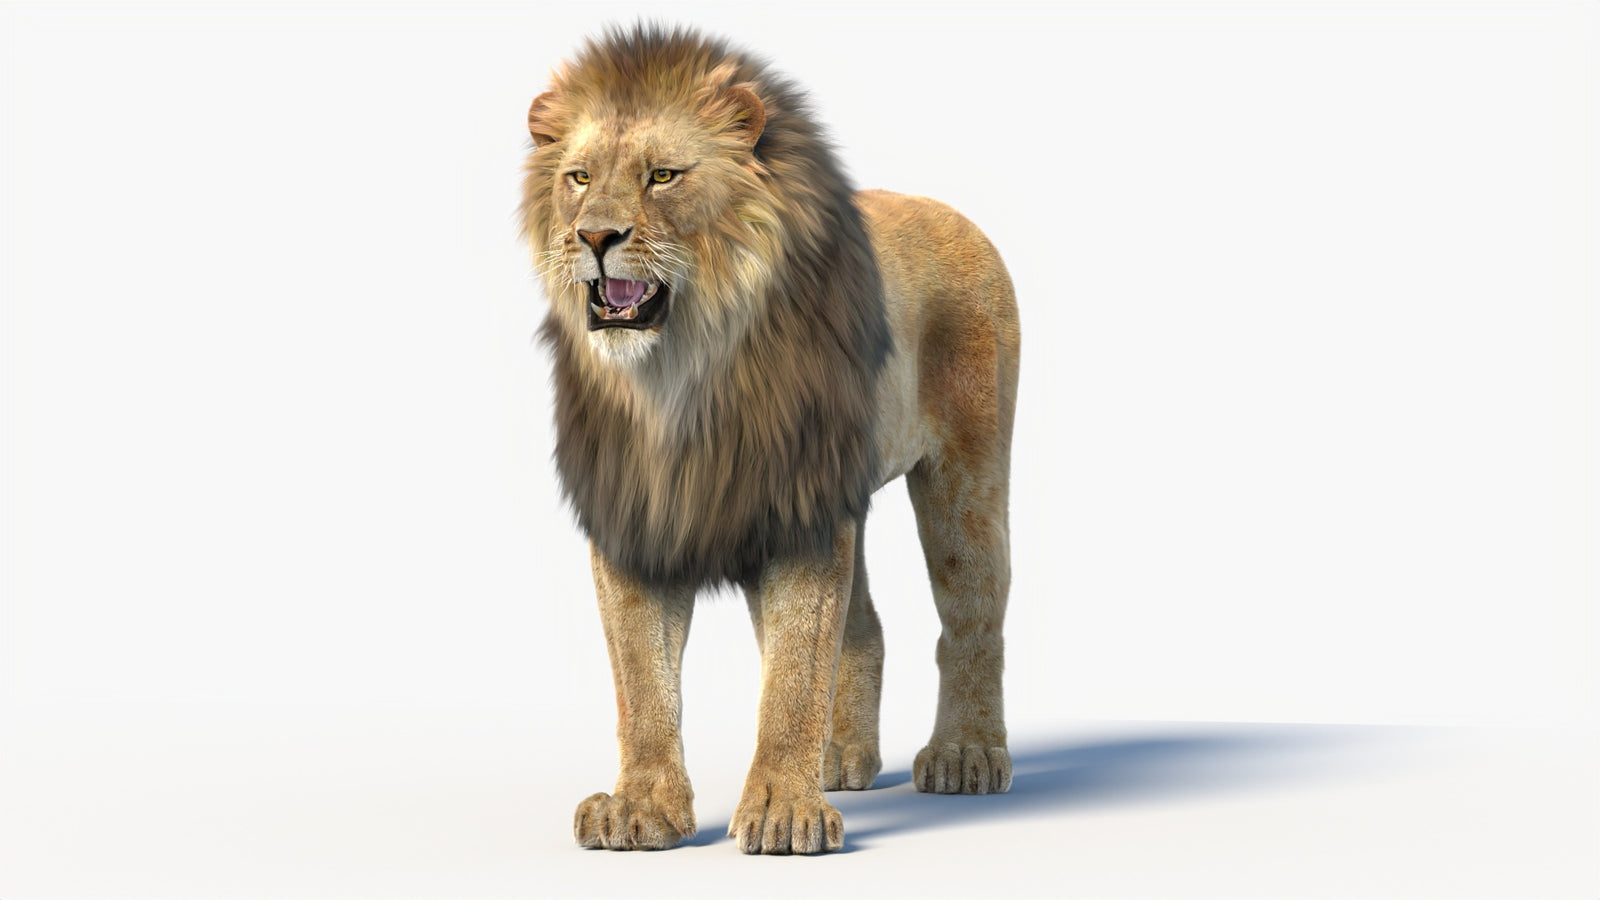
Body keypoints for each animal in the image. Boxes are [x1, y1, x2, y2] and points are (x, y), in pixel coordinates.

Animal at [520, 25, 1020, 855]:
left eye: (663, 176)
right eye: (578, 178)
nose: (594, 235)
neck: (679, 381)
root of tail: (948, 210)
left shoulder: (799, 514)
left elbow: (793, 671)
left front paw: (785, 812)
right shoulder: (634, 517)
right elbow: (642, 682)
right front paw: (640, 808)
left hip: (966, 477)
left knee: (975, 610)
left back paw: (966, 754)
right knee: (866, 625)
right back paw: (841, 757)